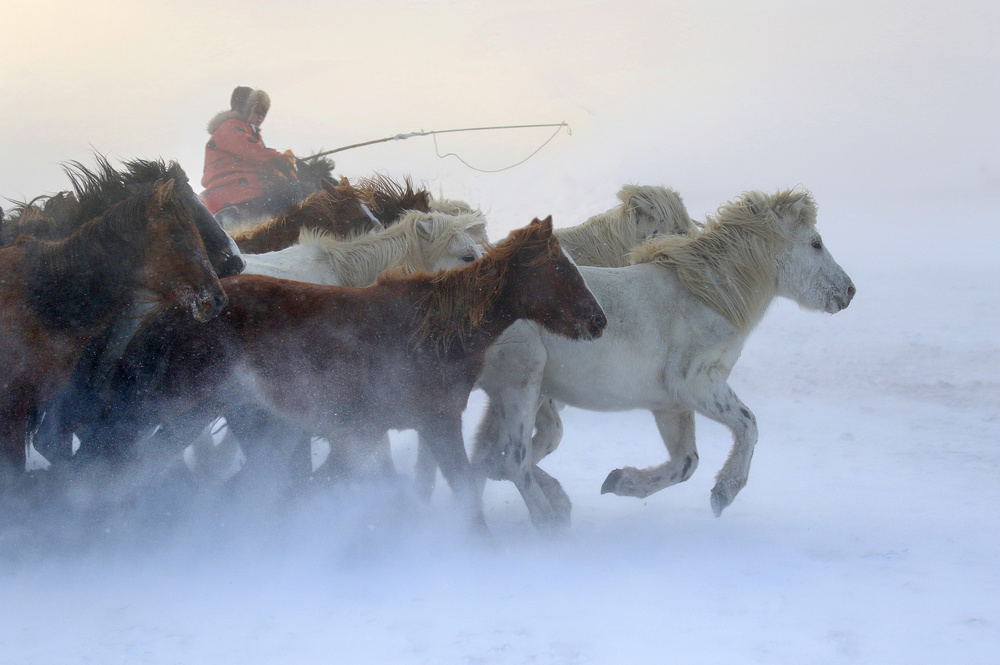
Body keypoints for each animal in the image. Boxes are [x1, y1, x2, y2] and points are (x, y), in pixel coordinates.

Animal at [66, 218, 608, 528]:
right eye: (561, 270)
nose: (598, 320)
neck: (436, 327)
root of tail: (171, 312)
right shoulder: (431, 423)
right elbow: (461, 492)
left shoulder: (365, 430)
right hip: (183, 412)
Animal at [472, 188, 856, 528]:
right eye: (816, 243)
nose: (849, 291)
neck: (707, 298)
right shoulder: (696, 382)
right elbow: (748, 425)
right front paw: (724, 492)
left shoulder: (671, 405)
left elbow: (686, 462)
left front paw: (620, 481)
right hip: (521, 384)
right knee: (513, 460)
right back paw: (548, 519)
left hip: (524, 393)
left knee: (490, 460)